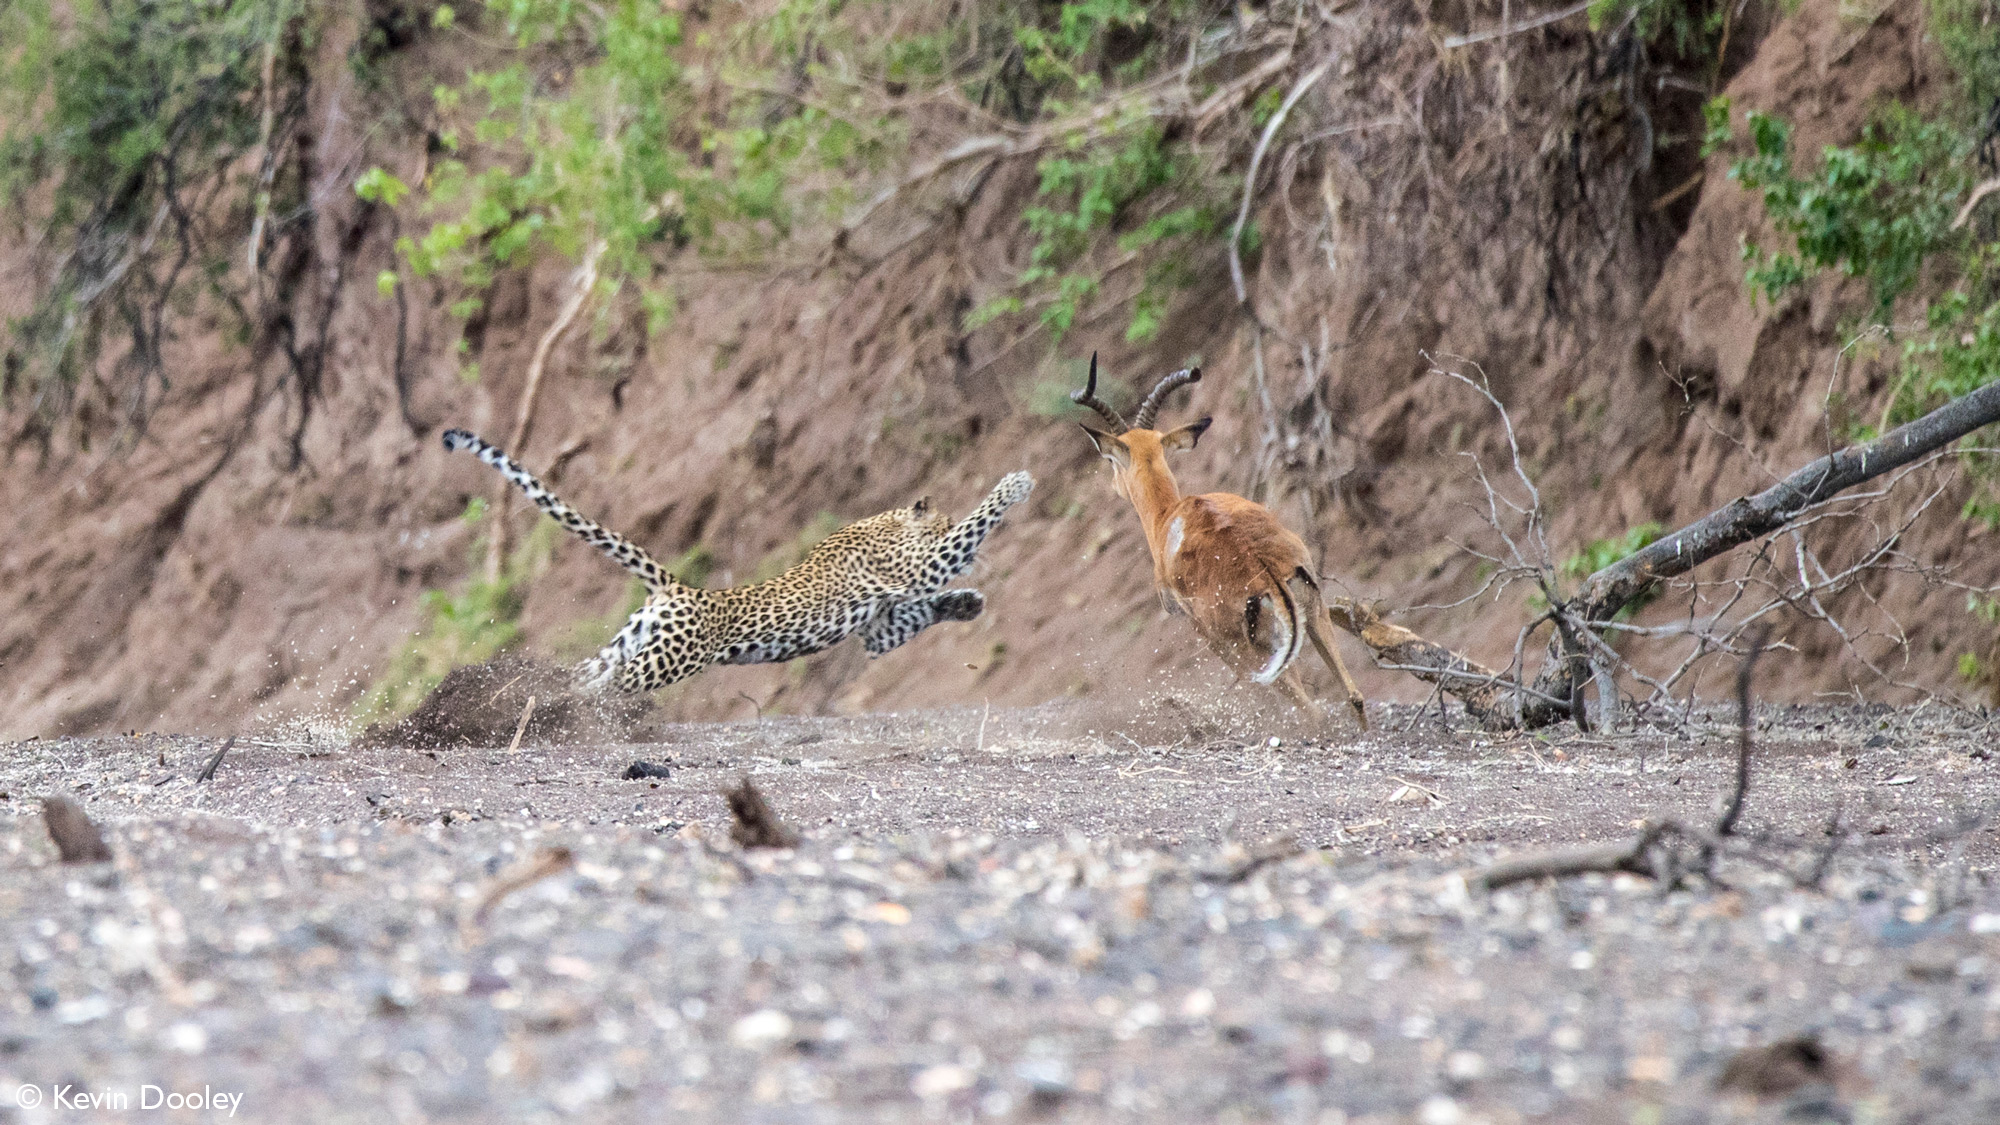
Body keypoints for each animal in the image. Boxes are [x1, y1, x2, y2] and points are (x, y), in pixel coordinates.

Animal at [436, 428, 1032, 692]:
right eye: (940, 524)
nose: (975, 581)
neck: (883, 523)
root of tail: (681, 590)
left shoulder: (880, 627)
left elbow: (920, 614)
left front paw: (968, 604)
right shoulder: (915, 568)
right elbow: (971, 529)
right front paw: (1015, 483)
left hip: (629, 643)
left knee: (585, 675)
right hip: (668, 660)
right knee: (604, 688)